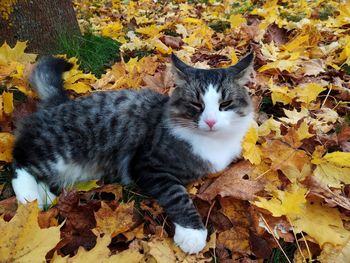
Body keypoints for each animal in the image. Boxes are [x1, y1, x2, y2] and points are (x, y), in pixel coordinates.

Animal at [10, 52, 254, 255]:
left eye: (225, 104)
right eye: (196, 104)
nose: (211, 121)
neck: (211, 142)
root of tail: (58, 104)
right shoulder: (148, 165)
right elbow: (178, 197)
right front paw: (192, 233)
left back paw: (44, 196)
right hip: (59, 150)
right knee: (18, 159)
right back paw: (30, 196)